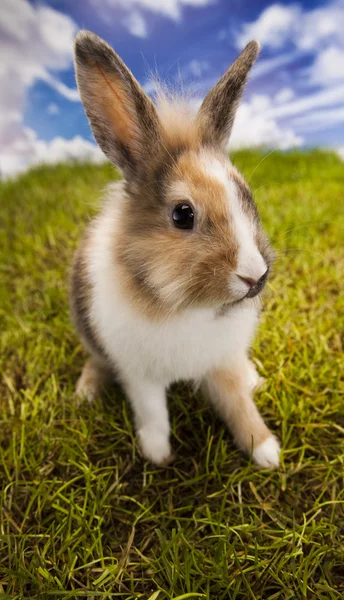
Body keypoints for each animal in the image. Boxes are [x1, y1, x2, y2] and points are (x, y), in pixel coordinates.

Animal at [69, 31, 280, 468]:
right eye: (183, 214)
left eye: (246, 196)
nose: (254, 275)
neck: (190, 308)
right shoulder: (140, 374)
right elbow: (153, 412)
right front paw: (157, 454)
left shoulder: (222, 359)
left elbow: (238, 403)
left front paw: (266, 450)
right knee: (96, 360)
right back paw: (85, 393)